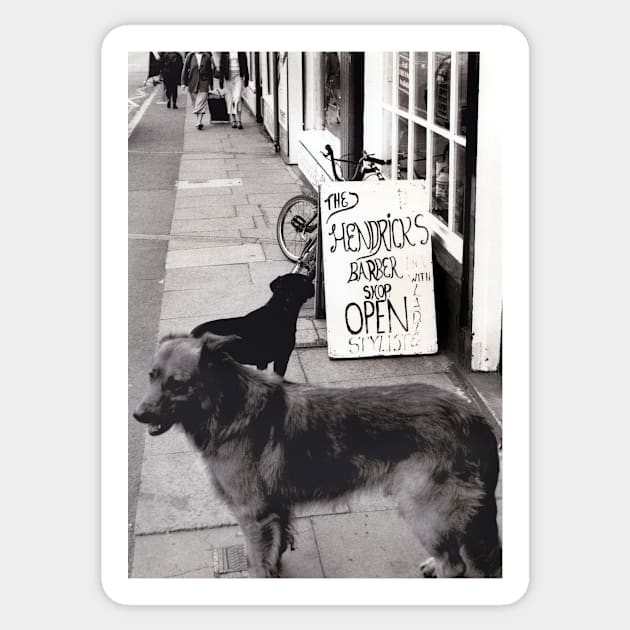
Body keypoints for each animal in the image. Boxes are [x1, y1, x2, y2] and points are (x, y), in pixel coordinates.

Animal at [135, 338, 504, 580]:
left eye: (176, 384)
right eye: (151, 376)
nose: (138, 415)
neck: (227, 405)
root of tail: (474, 418)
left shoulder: (252, 516)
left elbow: (256, 563)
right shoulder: (275, 510)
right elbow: (276, 549)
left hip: (421, 507)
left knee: (456, 565)